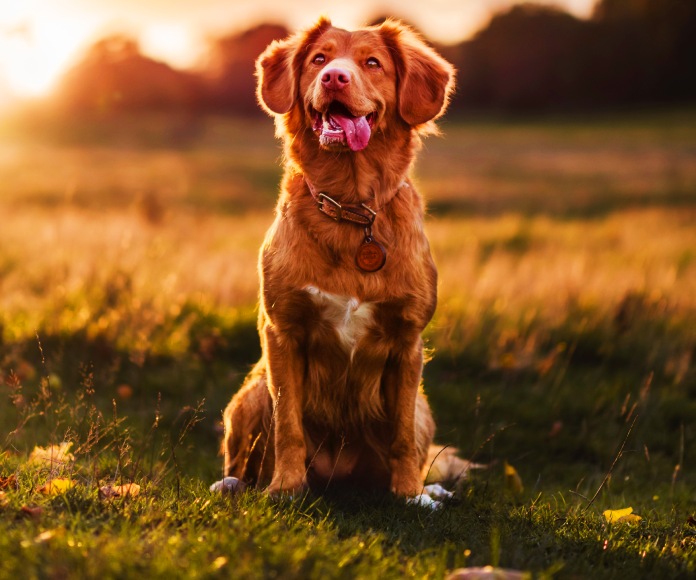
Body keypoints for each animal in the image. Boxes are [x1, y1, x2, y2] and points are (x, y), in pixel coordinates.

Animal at [219, 18, 456, 498]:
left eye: (373, 63)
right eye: (318, 59)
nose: (334, 78)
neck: (350, 208)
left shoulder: (408, 342)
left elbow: (402, 436)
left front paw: (408, 495)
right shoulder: (283, 333)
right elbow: (288, 424)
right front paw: (285, 488)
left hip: (424, 407)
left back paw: (429, 492)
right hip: (250, 393)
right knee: (242, 457)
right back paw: (233, 484)